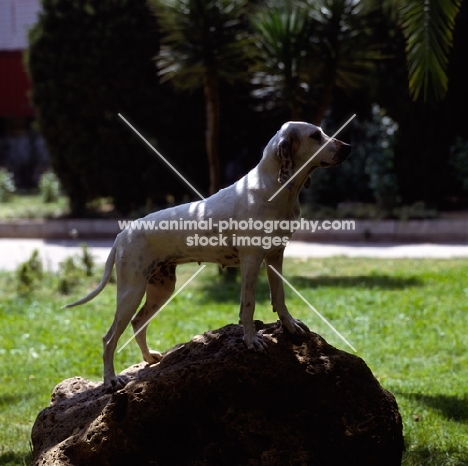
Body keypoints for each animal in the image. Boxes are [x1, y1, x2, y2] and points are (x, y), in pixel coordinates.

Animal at [66, 121, 352, 390]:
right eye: (315, 136)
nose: (347, 147)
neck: (272, 189)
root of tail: (121, 235)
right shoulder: (251, 260)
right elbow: (248, 305)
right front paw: (251, 340)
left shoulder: (275, 256)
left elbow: (279, 298)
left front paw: (290, 327)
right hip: (131, 292)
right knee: (109, 338)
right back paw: (110, 380)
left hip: (160, 289)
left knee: (138, 323)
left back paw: (149, 358)